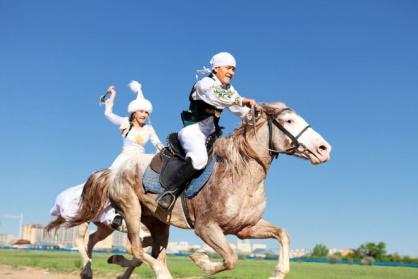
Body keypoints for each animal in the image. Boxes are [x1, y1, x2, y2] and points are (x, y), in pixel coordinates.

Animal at [69, 103, 330, 279]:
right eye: (289, 121)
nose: (324, 149)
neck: (242, 175)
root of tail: (113, 172)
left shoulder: (245, 228)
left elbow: (282, 234)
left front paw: (278, 272)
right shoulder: (206, 227)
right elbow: (231, 258)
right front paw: (199, 259)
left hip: (158, 222)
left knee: (145, 250)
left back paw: (98, 268)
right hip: (131, 209)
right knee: (135, 248)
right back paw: (152, 271)